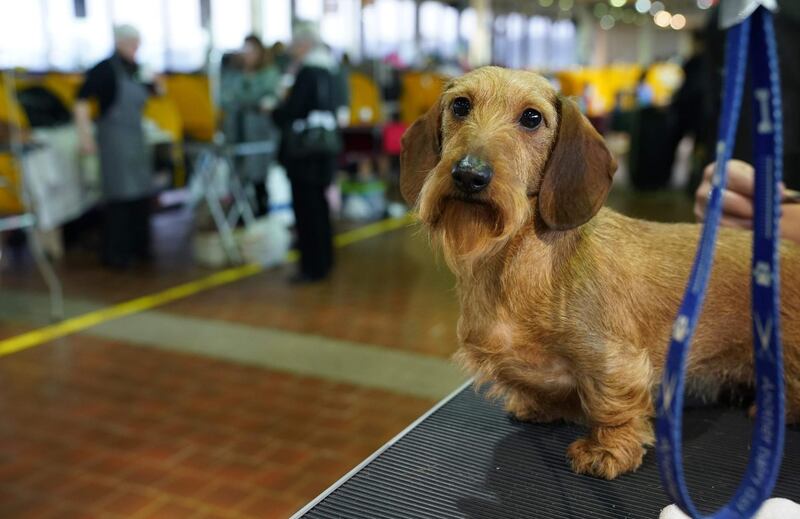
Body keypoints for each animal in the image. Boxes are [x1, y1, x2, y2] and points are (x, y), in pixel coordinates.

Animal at [400, 67, 800, 482]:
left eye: (532, 117)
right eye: (460, 105)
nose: (469, 175)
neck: (518, 260)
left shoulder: (614, 360)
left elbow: (612, 404)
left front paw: (607, 450)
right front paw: (540, 407)